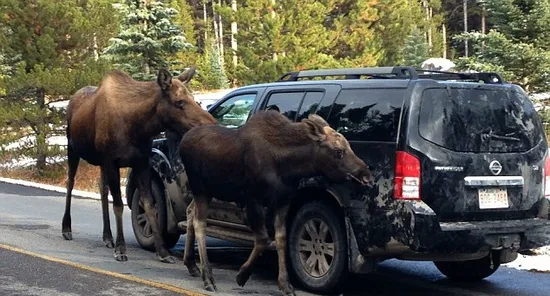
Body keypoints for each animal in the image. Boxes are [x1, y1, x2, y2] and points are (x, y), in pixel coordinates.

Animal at [60, 67, 216, 264]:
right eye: (179, 102)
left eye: (194, 98)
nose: (212, 124)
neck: (138, 126)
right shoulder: (112, 161)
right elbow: (118, 205)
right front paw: (121, 249)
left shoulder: (141, 162)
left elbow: (149, 205)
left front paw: (163, 252)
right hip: (72, 147)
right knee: (70, 182)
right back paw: (66, 228)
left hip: (100, 162)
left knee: (102, 188)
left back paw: (107, 237)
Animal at [181, 110, 376, 294]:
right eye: (339, 151)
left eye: (349, 146)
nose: (366, 175)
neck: (288, 166)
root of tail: (183, 141)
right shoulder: (253, 199)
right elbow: (262, 239)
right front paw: (242, 275)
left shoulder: (283, 201)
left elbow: (281, 239)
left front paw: (285, 284)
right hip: (200, 189)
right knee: (200, 223)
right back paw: (208, 278)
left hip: (207, 192)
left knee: (191, 214)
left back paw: (194, 266)